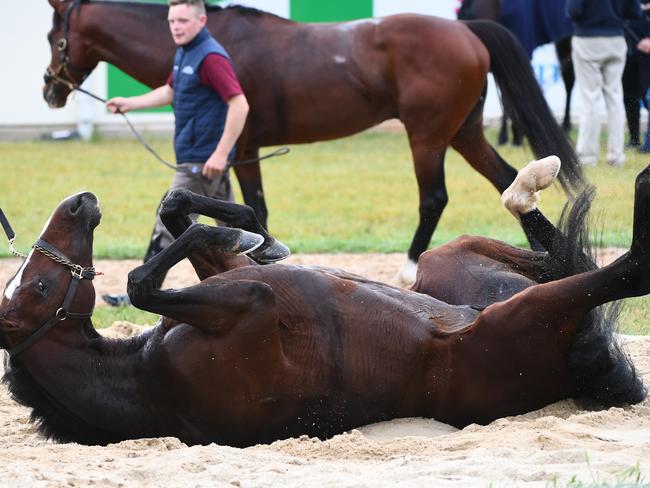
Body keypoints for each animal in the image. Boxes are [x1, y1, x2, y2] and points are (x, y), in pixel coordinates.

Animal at [0, 158, 640, 448]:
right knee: (618, 272)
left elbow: (181, 210)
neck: (145, 377)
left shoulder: (233, 283)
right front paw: (237, 232)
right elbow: (140, 282)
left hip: (449, 262)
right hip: (518, 318)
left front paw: (252, 233)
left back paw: (528, 183)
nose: (78, 202)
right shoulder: (254, 304)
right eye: (36, 290)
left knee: (560, 260)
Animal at [44, 0, 584, 284]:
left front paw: (261, 246)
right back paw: (539, 252)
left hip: (427, 134)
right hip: (464, 132)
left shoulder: (242, 147)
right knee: (505, 179)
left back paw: (410, 268)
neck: (210, 42)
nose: (50, 88)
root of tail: (465, 29)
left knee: (433, 197)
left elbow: (253, 203)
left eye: (55, 37)